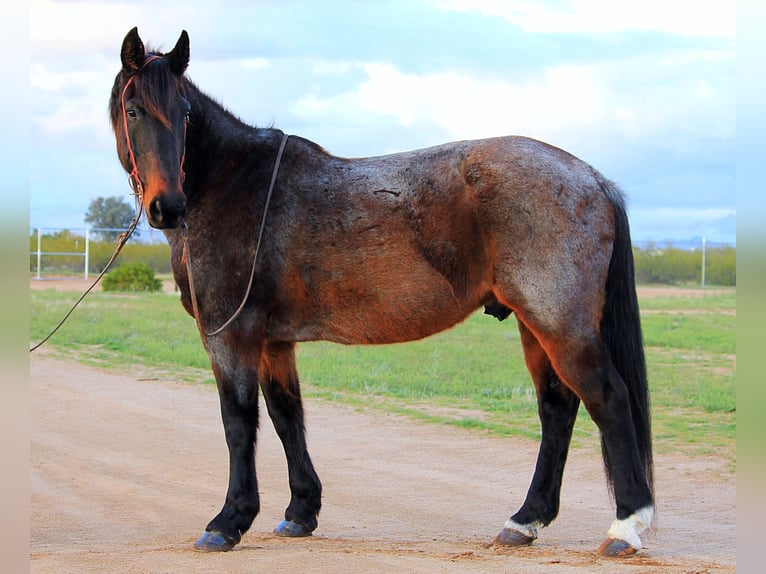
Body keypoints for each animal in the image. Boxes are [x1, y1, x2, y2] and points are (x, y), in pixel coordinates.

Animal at [111, 27, 656, 560]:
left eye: (185, 113)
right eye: (133, 109)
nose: (167, 206)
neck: (233, 183)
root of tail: (592, 179)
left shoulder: (231, 336)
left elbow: (238, 422)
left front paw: (228, 522)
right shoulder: (273, 342)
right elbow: (288, 416)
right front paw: (300, 512)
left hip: (559, 325)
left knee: (608, 399)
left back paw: (626, 527)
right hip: (533, 325)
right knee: (557, 408)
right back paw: (524, 521)